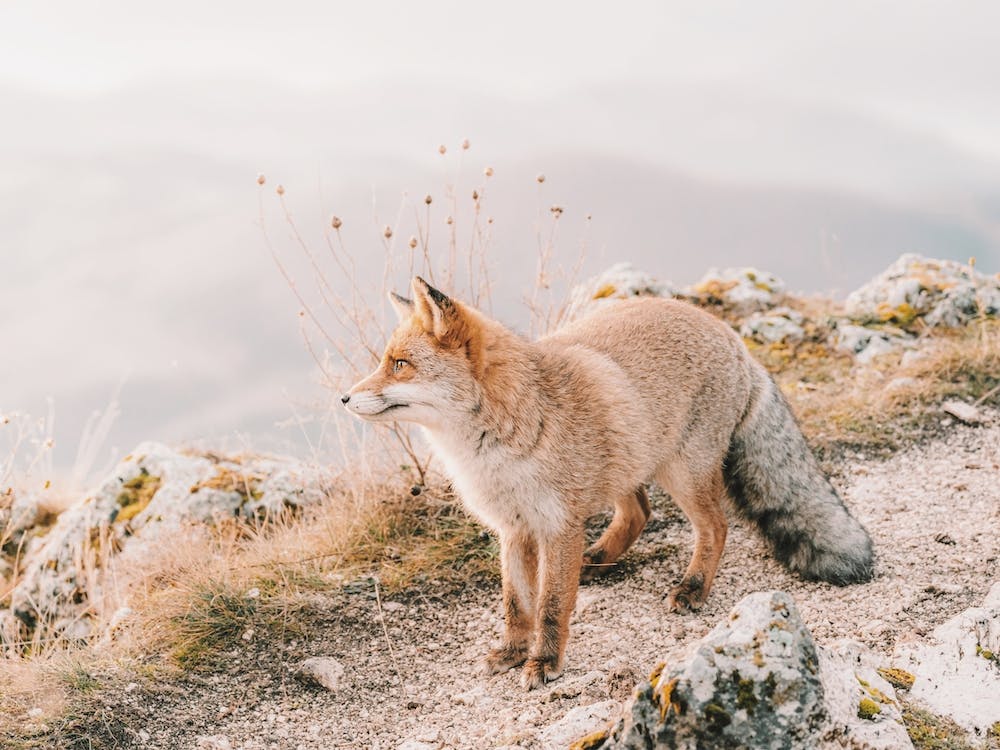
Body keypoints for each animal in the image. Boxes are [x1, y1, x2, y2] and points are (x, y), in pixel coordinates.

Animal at [342, 276, 874, 689]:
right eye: (385, 361)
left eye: (399, 364)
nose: (343, 399)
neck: (497, 446)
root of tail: (732, 336)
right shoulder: (515, 529)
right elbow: (517, 604)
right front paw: (512, 652)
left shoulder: (557, 527)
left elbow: (551, 605)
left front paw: (544, 663)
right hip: (629, 461)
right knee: (640, 511)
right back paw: (600, 557)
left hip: (681, 472)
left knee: (716, 527)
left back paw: (693, 588)